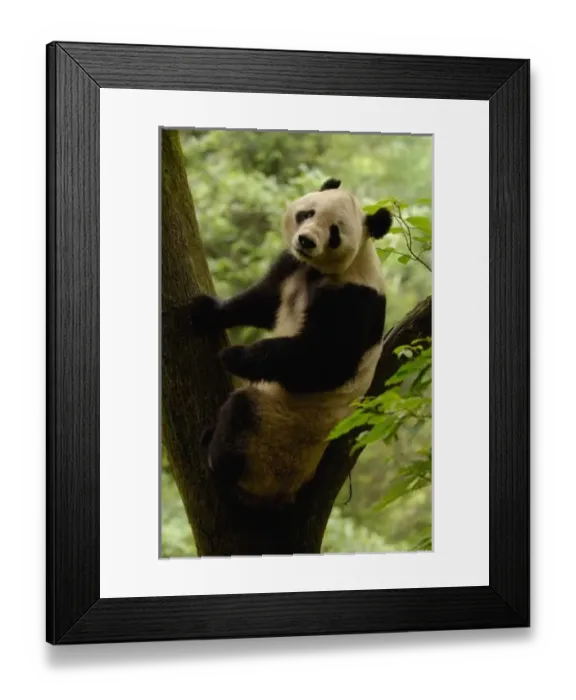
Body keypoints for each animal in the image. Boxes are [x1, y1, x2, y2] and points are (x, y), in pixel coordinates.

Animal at [186, 178, 393, 507]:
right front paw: (205, 311)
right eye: (307, 213)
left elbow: (322, 361)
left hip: (277, 434)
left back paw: (215, 458)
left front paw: (235, 356)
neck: (318, 270)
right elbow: (262, 302)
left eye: (334, 231)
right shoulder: (292, 266)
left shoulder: (356, 299)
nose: (306, 241)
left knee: (242, 415)